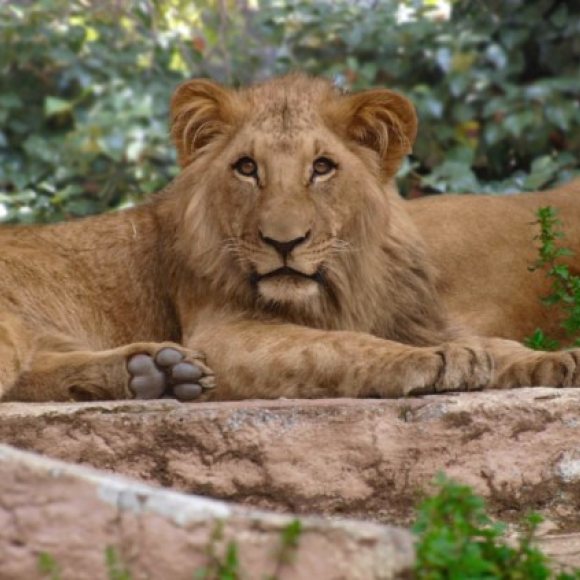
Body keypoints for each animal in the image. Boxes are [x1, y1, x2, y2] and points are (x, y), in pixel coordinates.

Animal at [1, 73, 580, 404]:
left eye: (322, 168)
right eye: (246, 168)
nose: (284, 242)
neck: (340, 287)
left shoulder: (415, 314)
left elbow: (497, 343)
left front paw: (556, 360)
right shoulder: (223, 333)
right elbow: (338, 346)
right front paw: (437, 360)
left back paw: (152, 372)